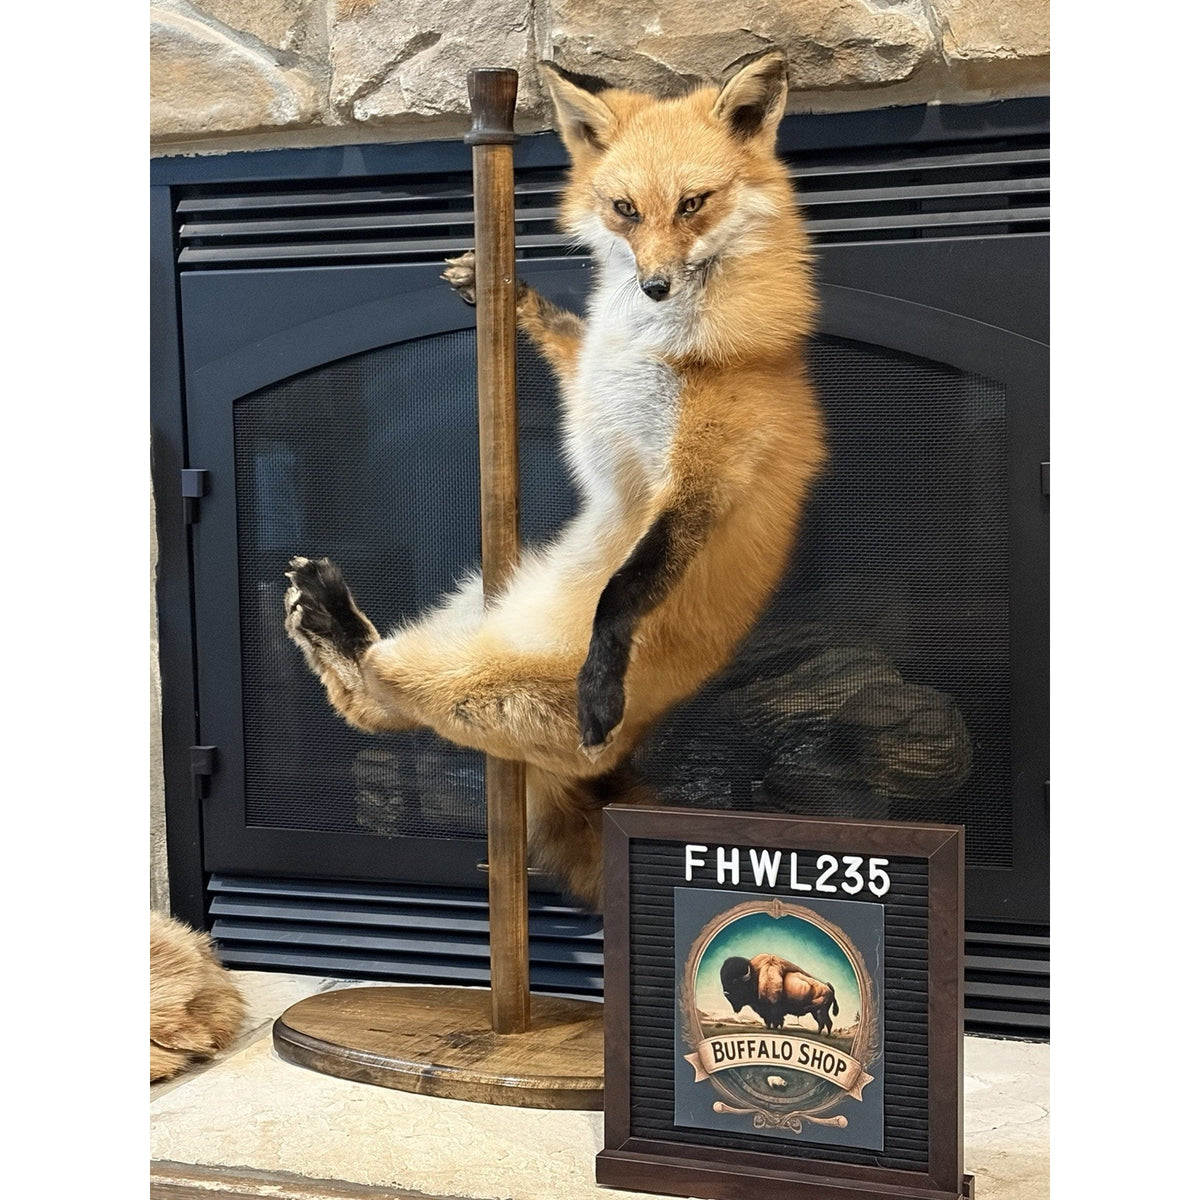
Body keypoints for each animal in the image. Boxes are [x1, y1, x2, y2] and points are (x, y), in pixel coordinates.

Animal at [284, 50, 827, 910]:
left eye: (695, 203)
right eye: (624, 208)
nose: (655, 286)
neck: (650, 338)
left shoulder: (706, 475)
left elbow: (627, 587)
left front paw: (601, 679)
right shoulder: (592, 384)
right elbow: (564, 332)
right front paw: (503, 291)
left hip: (475, 683)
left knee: (387, 691)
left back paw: (335, 621)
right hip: (462, 612)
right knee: (369, 705)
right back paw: (321, 618)